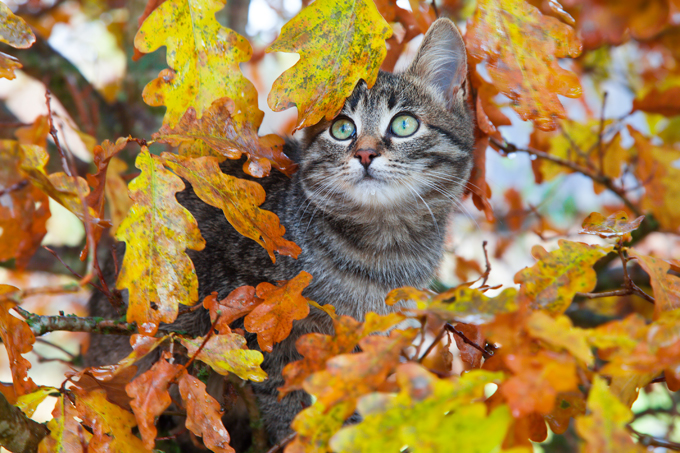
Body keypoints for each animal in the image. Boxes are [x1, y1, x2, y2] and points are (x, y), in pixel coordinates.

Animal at [86, 16, 472, 448]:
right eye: (342, 129)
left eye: (405, 124)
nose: (365, 153)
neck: (381, 247)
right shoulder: (254, 320)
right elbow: (283, 396)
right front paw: (299, 436)